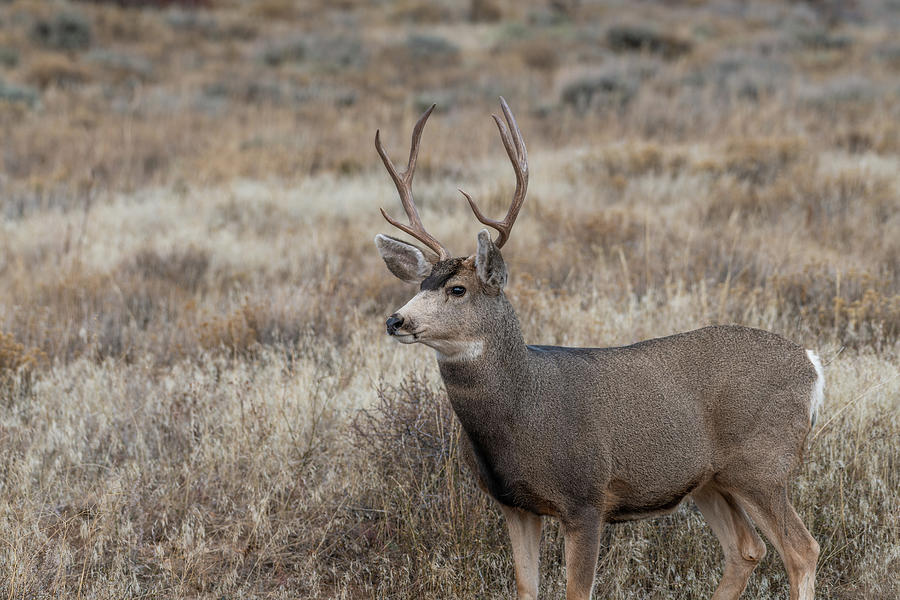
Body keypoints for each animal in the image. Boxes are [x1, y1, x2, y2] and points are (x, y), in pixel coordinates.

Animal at [370, 99, 824, 600]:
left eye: (457, 289)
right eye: (420, 284)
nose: (396, 320)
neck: (521, 408)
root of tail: (811, 364)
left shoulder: (585, 499)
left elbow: (576, 590)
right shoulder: (514, 505)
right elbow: (526, 588)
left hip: (762, 465)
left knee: (802, 549)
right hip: (710, 481)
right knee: (746, 550)